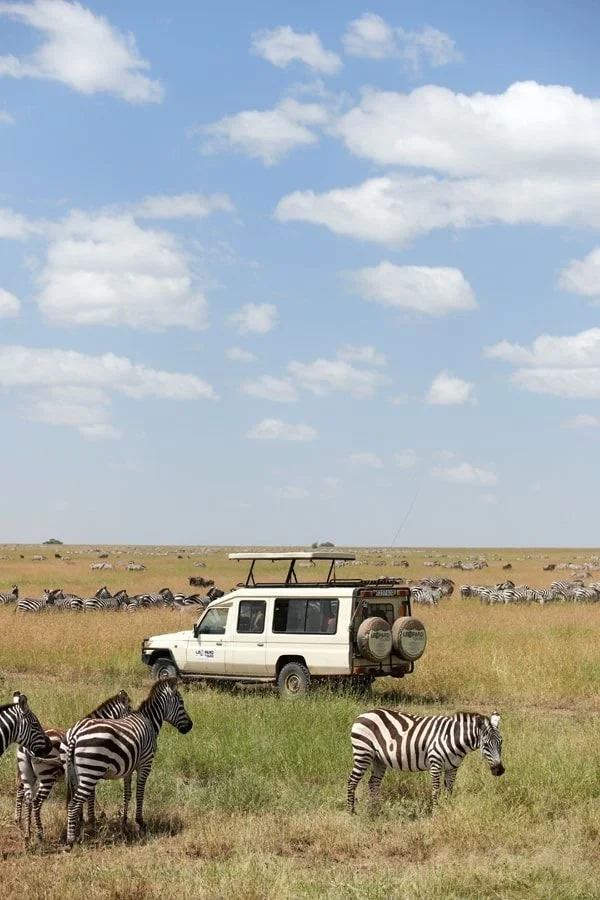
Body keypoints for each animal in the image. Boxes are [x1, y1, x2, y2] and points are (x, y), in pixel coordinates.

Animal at [15, 689, 132, 842]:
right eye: (130, 710)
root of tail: (26, 747)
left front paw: (79, 821)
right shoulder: (89, 771)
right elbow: (90, 797)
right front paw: (89, 821)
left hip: (26, 773)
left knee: (21, 793)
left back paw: (22, 825)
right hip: (47, 776)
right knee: (35, 801)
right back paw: (39, 833)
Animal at [64, 677, 193, 848]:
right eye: (182, 702)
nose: (190, 726)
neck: (149, 721)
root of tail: (75, 734)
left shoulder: (128, 768)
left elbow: (127, 794)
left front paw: (124, 821)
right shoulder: (145, 764)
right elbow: (140, 793)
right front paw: (140, 822)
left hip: (77, 772)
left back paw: (80, 830)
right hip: (91, 771)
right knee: (74, 804)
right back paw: (71, 841)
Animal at [347, 709, 504, 813]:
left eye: (501, 742)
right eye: (485, 744)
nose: (500, 770)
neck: (454, 738)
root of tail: (363, 714)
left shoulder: (452, 766)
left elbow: (449, 790)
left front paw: (449, 809)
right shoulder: (435, 762)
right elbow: (436, 790)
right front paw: (436, 812)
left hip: (378, 759)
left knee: (373, 783)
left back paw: (375, 810)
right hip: (363, 753)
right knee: (352, 781)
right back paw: (351, 812)